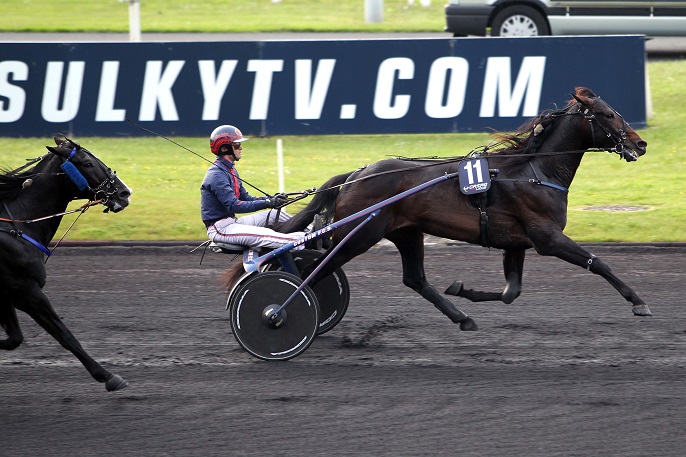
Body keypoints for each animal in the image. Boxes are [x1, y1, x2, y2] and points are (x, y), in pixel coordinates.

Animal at [0, 134, 133, 388]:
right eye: (88, 163)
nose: (124, 193)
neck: (17, 226)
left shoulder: (7, 293)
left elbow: (14, 338)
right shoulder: (26, 291)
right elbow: (65, 336)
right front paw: (107, 375)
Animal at [268, 87, 652, 330]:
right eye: (607, 114)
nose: (641, 144)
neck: (534, 171)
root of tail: (356, 175)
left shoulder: (516, 242)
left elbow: (511, 292)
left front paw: (463, 290)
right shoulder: (547, 237)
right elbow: (598, 263)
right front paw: (638, 301)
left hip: (406, 232)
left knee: (415, 279)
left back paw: (462, 318)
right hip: (360, 235)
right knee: (315, 269)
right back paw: (283, 310)